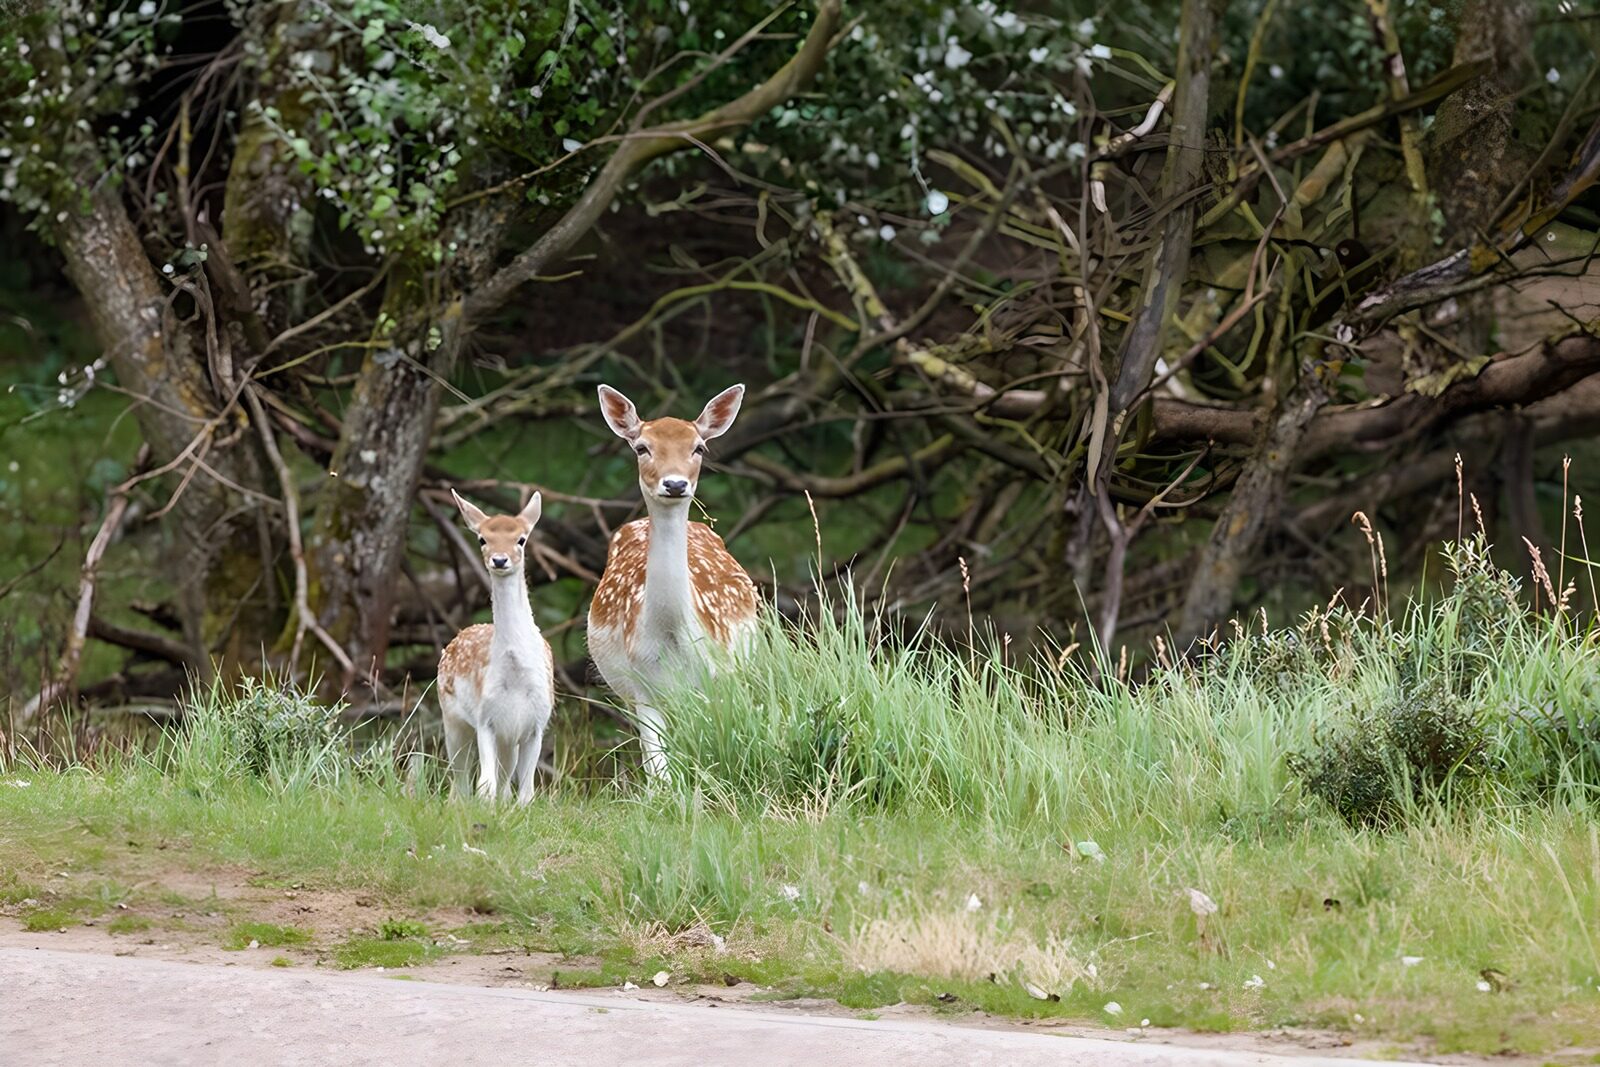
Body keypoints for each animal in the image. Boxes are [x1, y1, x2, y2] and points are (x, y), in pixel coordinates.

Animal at [436, 489, 555, 804]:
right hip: (452, 719)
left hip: (508, 740)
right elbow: (484, 786)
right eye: (482, 538)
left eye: (521, 539)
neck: (516, 674)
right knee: (461, 783)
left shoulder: (537, 722)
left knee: (503, 782)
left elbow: (526, 791)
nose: (499, 560)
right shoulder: (485, 718)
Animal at [587, 384, 760, 778]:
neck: (670, 634)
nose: (676, 483)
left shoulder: (720, 676)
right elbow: (659, 773)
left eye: (699, 447)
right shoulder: (642, 686)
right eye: (642, 447)